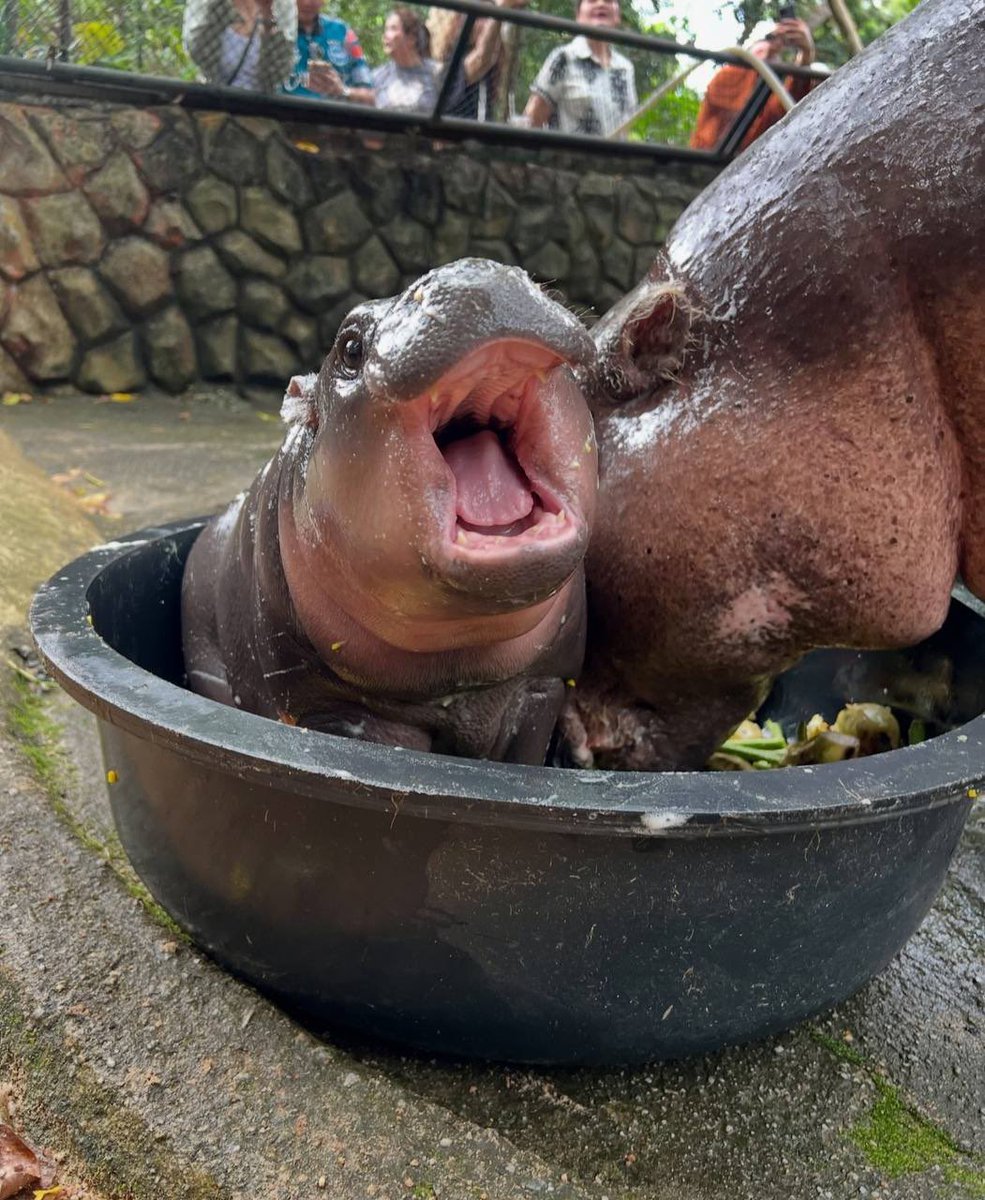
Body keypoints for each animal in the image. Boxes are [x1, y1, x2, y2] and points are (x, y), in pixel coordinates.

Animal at [182, 259, 597, 764]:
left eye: (532, 276)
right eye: (349, 346)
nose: (471, 274)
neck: (460, 658)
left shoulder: (542, 686)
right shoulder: (336, 713)